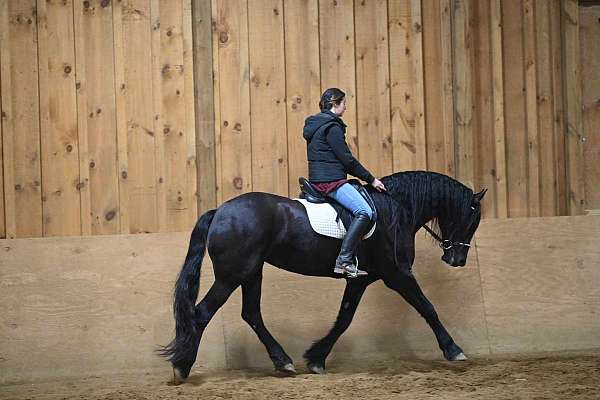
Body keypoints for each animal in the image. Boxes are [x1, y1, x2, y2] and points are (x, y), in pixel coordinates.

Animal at [161, 170, 488, 382]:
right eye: (472, 220)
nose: (457, 260)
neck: (397, 210)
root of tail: (219, 211)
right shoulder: (398, 275)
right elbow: (428, 308)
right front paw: (454, 350)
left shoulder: (360, 279)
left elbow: (344, 318)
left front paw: (316, 358)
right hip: (232, 275)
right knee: (202, 313)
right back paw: (182, 367)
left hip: (252, 272)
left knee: (251, 314)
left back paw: (283, 362)